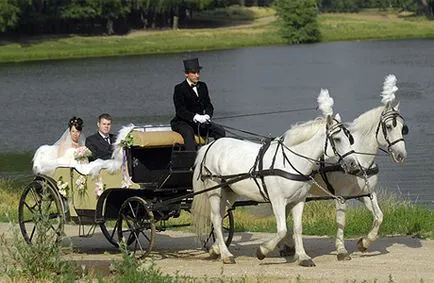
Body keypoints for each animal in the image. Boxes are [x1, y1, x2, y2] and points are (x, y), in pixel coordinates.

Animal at [192, 90, 358, 268]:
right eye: (337, 139)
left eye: (349, 138)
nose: (353, 163)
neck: (292, 161)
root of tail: (210, 146)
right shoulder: (278, 200)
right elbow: (282, 229)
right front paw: (262, 251)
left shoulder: (299, 200)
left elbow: (298, 228)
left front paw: (303, 257)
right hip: (215, 190)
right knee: (216, 219)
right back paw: (226, 254)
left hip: (229, 191)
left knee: (221, 216)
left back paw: (215, 249)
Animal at [278, 74, 406, 262]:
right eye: (389, 127)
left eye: (403, 128)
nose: (401, 155)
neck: (359, 158)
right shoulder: (341, 196)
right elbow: (341, 221)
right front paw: (341, 250)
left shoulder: (365, 193)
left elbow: (379, 217)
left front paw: (364, 243)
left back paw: (286, 245)